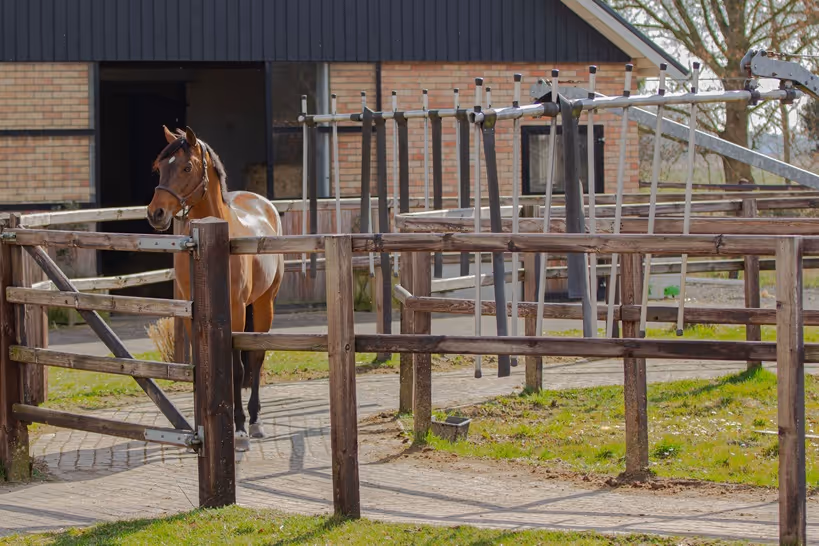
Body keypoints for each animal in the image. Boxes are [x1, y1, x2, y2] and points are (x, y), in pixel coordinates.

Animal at [147, 126, 284, 452]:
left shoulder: (235, 310)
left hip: (264, 305)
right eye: (160, 167)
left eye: (187, 167)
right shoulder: (190, 312)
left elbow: (236, 368)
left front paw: (239, 429)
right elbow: (199, 365)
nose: (156, 213)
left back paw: (255, 422)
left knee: (256, 359)